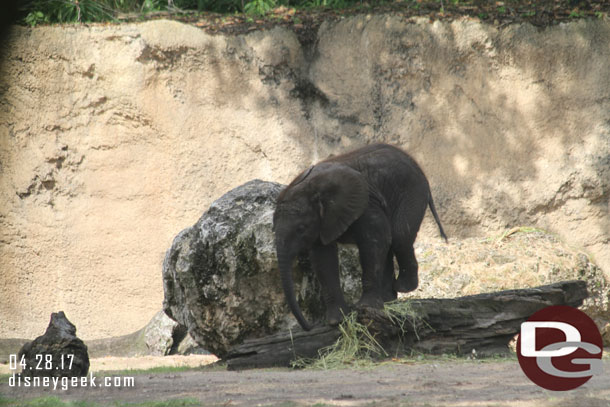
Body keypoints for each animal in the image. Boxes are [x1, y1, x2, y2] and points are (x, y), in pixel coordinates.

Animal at [274, 143, 444, 332]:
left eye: (301, 229)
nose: (309, 326)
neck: (311, 187)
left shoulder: (367, 203)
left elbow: (374, 241)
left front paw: (364, 307)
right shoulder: (323, 222)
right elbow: (322, 258)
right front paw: (336, 321)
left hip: (412, 193)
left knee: (400, 237)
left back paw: (403, 288)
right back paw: (387, 300)